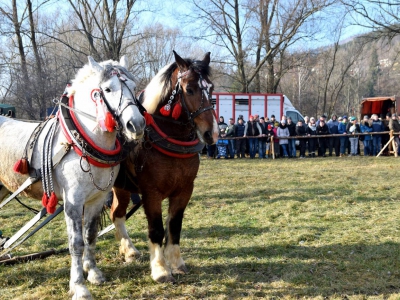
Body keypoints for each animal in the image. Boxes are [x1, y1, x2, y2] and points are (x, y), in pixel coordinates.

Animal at [110, 50, 219, 282]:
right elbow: (157, 230)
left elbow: (174, 226)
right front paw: (160, 269)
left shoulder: (184, 190)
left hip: (122, 188)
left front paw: (176, 262)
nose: (211, 134)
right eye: (189, 89)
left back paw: (129, 251)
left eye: (211, 87)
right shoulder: (151, 194)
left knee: (117, 214)